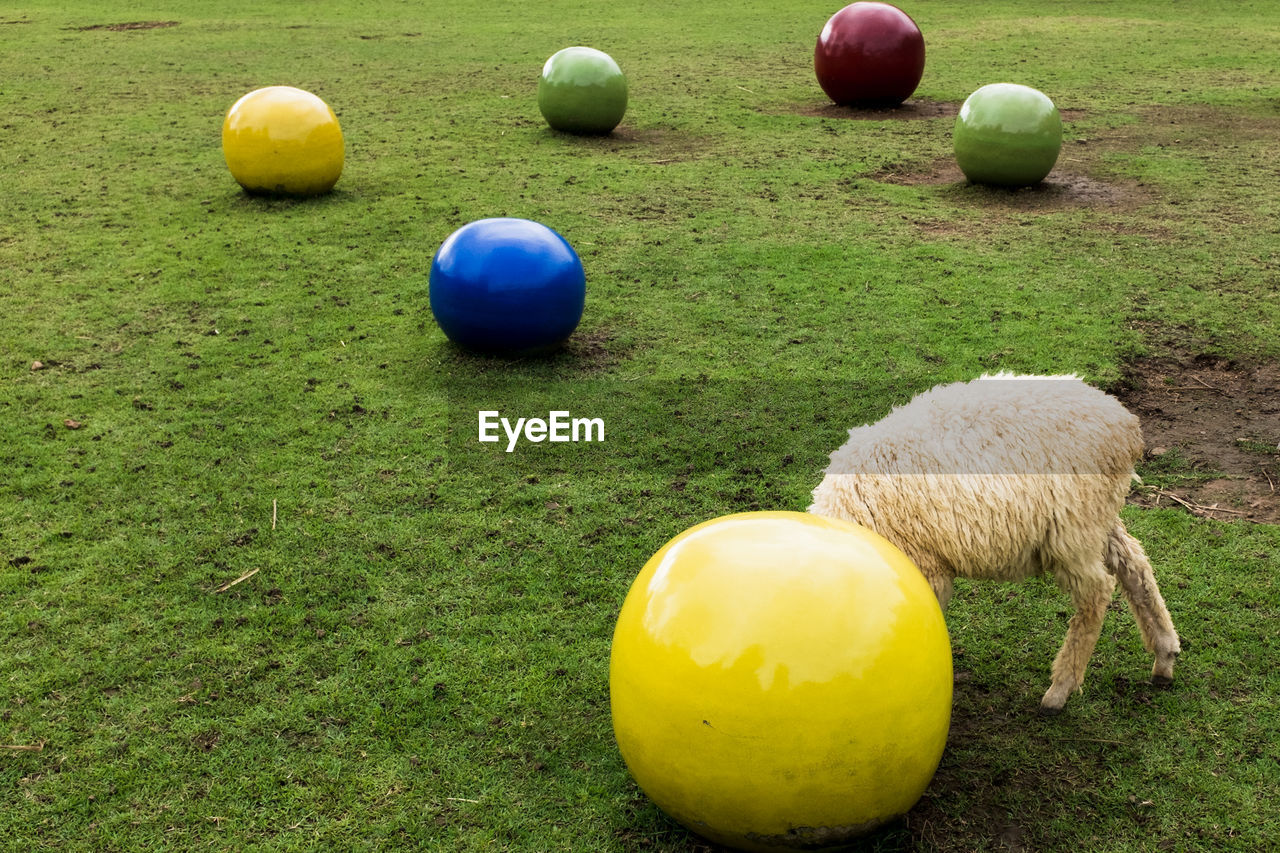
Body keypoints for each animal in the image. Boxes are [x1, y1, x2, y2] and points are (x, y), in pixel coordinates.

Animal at [808, 371, 1177, 712]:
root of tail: (1125, 426)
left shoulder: (925, 568)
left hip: (1073, 526)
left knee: (1097, 592)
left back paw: (1060, 690)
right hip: (1098, 517)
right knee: (1135, 564)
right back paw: (1165, 654)